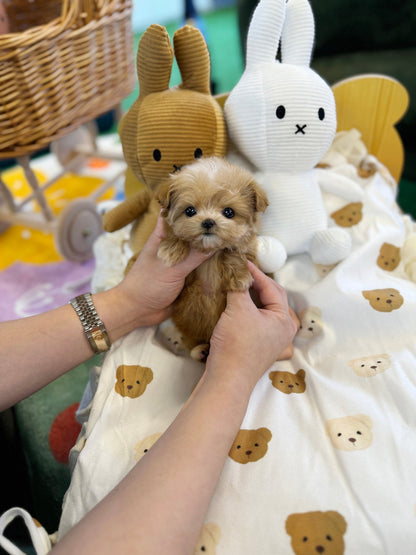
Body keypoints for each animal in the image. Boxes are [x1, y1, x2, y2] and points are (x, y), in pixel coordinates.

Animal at [158, 159, 268, 362]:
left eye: (229, 212)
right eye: (190, 211)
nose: (208, 221)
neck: (210, 252)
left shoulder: (248, 252)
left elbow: (233, 252)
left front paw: (239, 277)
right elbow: (176, 234)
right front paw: (172, 248)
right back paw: (200, 351)